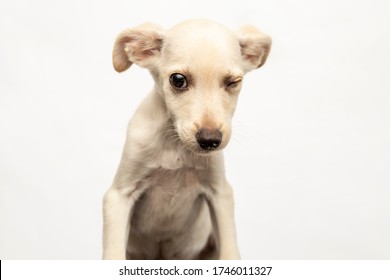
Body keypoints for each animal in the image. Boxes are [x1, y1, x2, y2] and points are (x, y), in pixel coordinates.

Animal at [103, 19, 272, 260]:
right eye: (178, 80)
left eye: (233, 82)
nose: (210, 140)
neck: (175, 148)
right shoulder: (118, 196)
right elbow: (113, 253)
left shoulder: (220, 193)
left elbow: (230, 251)